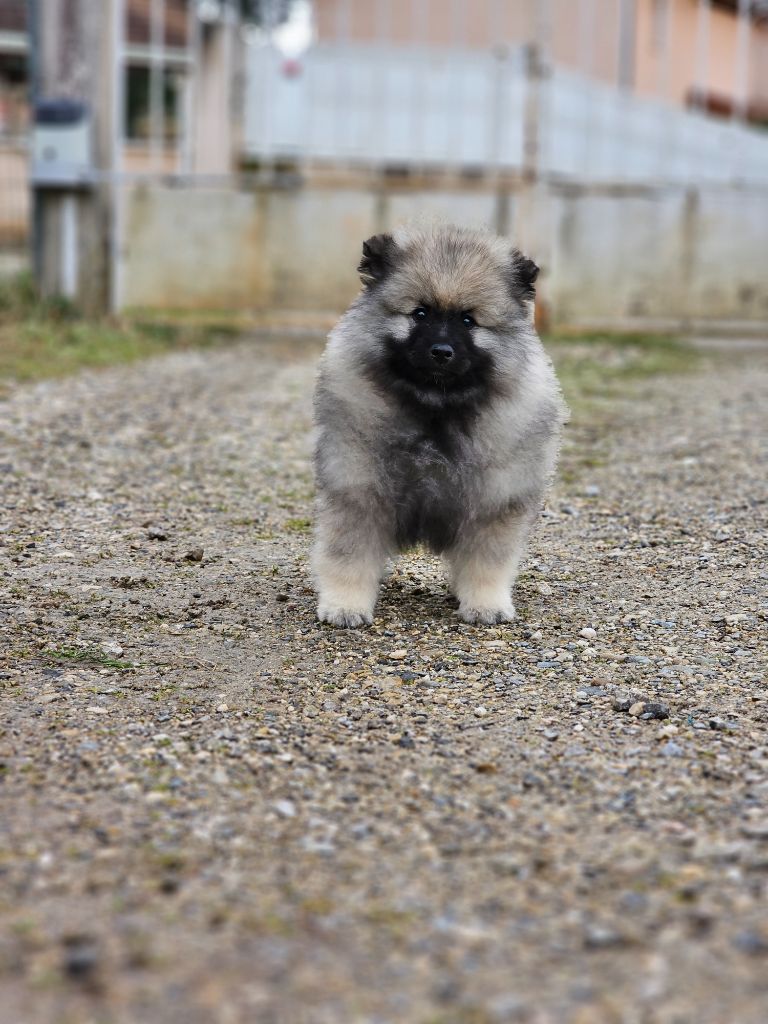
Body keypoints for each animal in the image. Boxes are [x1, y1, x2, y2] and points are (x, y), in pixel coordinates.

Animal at [311, 224, 565, 622]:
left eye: (467, 320)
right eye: (420, 313)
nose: (441, 352)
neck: (436, 409)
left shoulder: (494, 502)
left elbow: (486, 562)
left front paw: (485, 604)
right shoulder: (359, 490)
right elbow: (349, 555)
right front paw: (345, 604)